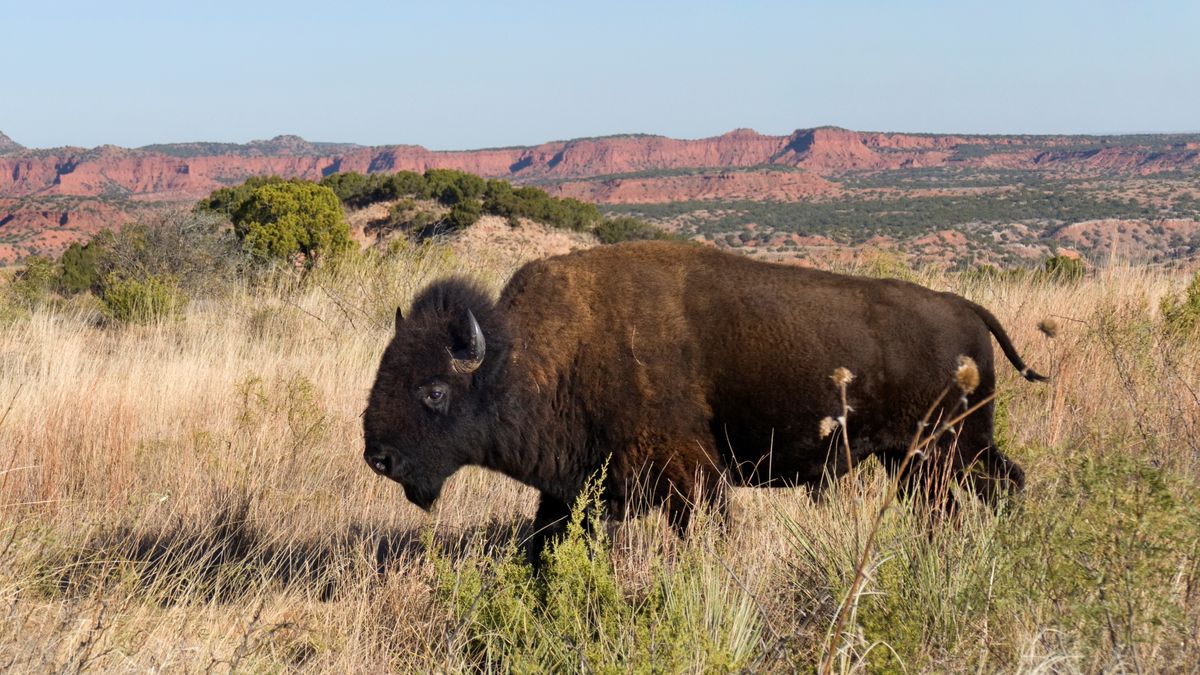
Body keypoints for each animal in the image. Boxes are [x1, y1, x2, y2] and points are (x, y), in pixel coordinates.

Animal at [360, 239, 1046, 559]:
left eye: (434, 389)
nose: (379, 457)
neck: (532, 356)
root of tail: (965, 308)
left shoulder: (690, 476)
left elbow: (706, 530)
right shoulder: (571, 489)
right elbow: (543, 545)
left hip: (946, 450)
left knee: (984, 491)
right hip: (925, 457)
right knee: (988, 491)